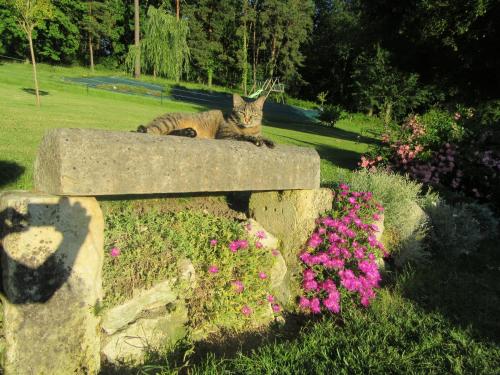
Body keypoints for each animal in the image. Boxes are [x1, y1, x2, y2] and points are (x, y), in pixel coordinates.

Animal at [136, 93, 274, 148]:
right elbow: (243, 136)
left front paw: (268, 140)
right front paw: (256, 140)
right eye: (242, 112)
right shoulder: (226, 135)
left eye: (254, 114)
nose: (247, 119)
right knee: (149, 131)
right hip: (168, 122)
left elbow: (262, 136)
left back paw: (188, 132)